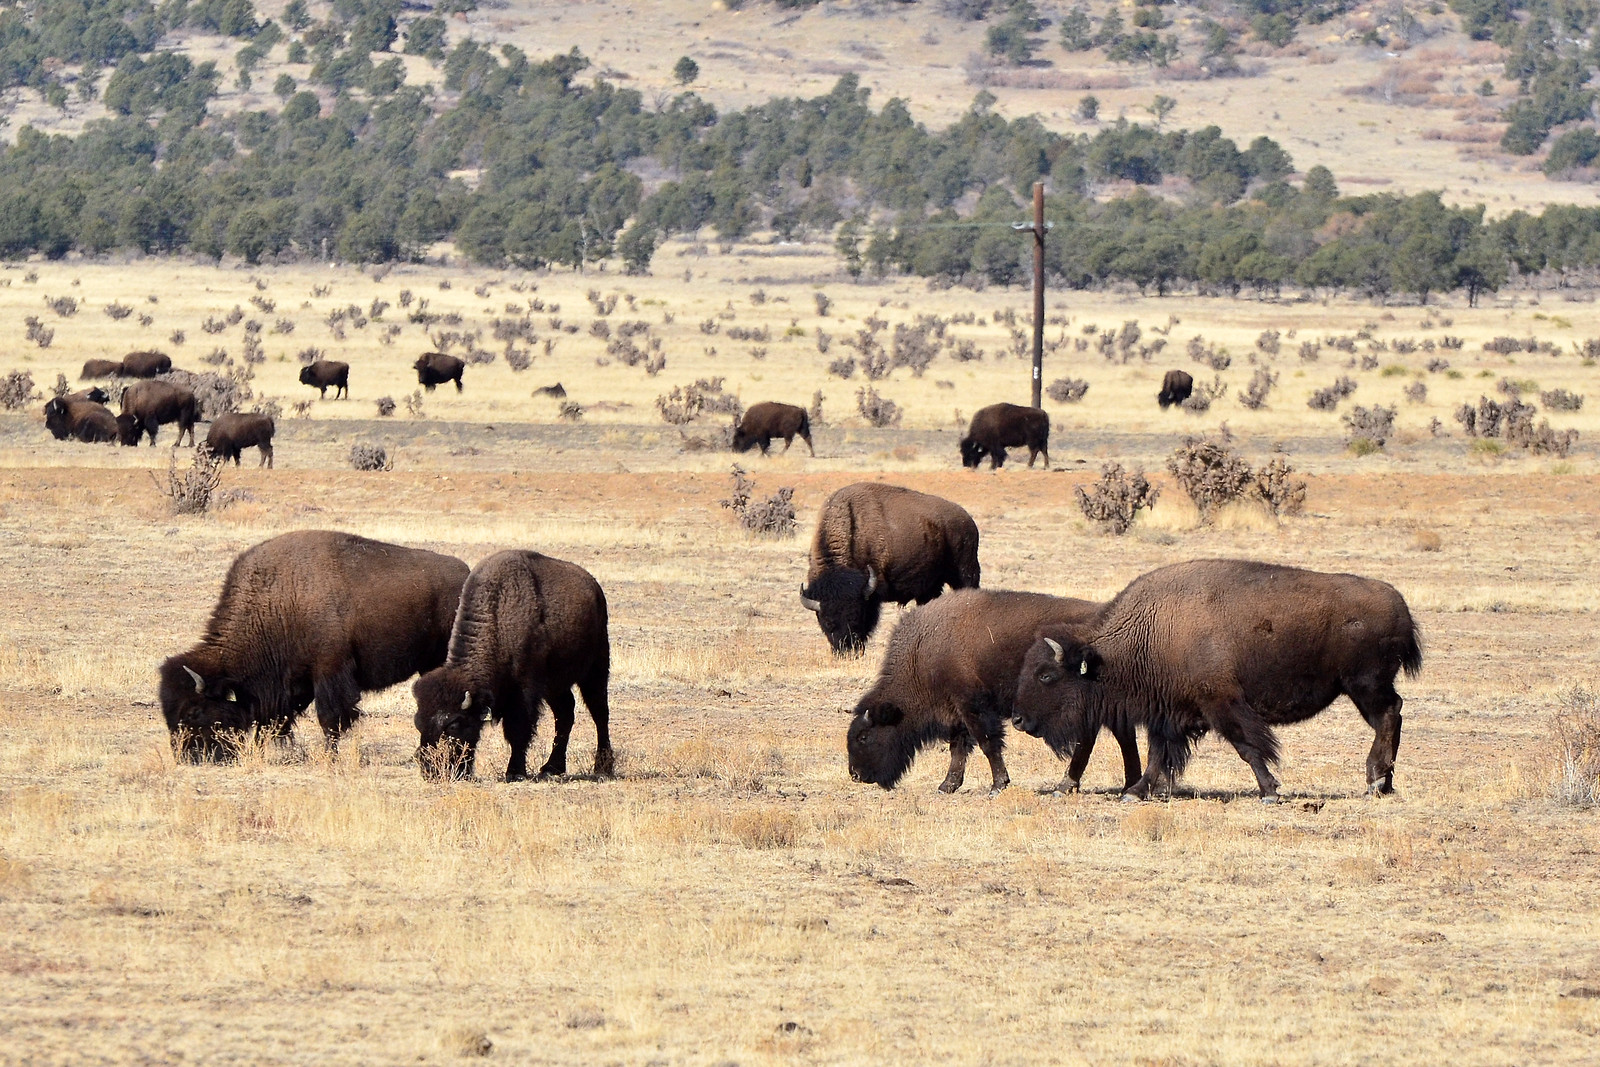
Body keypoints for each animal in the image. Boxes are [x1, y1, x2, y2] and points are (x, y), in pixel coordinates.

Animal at [159, 531, 468, 762]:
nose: (187, 756)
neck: (279, 603)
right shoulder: (293, 683)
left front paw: (330, 758)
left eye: (194, 711)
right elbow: (273, 720)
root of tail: (465, 574)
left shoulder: (329, 673)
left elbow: (328, 719)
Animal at [414, 550, 613, 782]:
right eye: (418, 722)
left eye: (453, 724)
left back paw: (603, 766)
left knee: (600, 713)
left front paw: (515, 772)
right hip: (556, 685)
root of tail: (594, 586)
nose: (431, 770)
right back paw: (551, 768)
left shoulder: (524, 693)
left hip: (596, 668)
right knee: (565, 713)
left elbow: (518, 731)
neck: (499, 621)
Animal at [800, 483, 980, 653]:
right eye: (827, 622)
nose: (847, 651)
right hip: (931, 586)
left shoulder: (872, 595)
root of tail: (968, 521)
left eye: (856, 617)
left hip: (964, 572)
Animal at [847, 589, 1141, 795]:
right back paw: (1125, 784)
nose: (855, 775)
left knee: (1091, 740)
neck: (923, 652)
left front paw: (998, 785)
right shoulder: (957, 712)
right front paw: (947, 785)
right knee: (1119, 736)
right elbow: (959, 747)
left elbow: (987, 743)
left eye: (864, 736)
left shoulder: (973, 707)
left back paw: (1069, 785)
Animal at [1011, 559, 1422, 803]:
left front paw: (1270, 791)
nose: (1017, 719)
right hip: (1365, 687)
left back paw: (1375, 780)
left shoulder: (1221, 704)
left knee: (1389, 716)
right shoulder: (1169, 714)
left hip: (1364, 686)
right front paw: (1136, 792)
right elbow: (1158, 755)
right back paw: (1384, 784)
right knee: (1395, 714)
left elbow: (1247, 746)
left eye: (1046, 675)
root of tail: (1398, 603)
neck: (1149, 631)